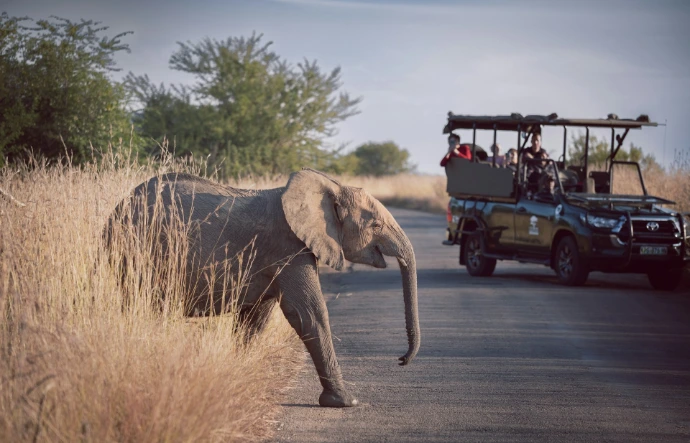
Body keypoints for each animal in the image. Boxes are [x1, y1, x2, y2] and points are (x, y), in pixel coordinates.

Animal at [105, 168, 420, 407]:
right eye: (376, 225)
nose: (401, 360)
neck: (329, 186)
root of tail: (116, 210)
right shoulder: (289, 247)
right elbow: (308, 313)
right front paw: (345, 403)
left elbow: (256, 317)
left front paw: (237, 376)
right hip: (137, 251)